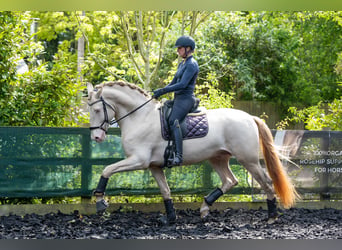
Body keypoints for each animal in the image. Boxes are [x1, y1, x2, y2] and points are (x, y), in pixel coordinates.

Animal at [87, 81, 298, 224]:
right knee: (230, 181)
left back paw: (272, 216)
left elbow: (106, 169)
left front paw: (100, 201)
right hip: (218, 158)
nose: (96, 137)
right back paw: (204, 208)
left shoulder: (138, 160)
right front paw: (170, 218)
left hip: (249, 160)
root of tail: (249, 117)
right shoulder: (154, 166)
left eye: (97, 110)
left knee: (266, 182)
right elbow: (165, 190)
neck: (140, 117)